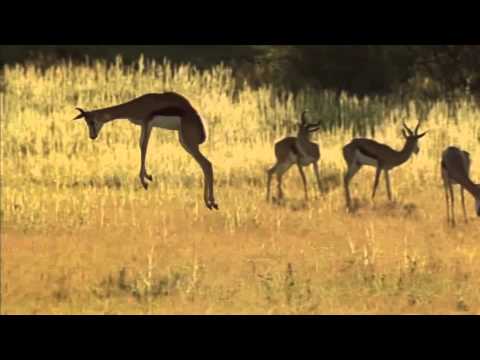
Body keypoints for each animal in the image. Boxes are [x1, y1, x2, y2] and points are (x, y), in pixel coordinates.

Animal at [73, 93, 219, 210]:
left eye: (91, 121)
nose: (92, 136)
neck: (139, 105)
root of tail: (202, 127)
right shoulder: (146, 126)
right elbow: (142, 146)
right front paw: (147, 177)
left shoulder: (146, 122)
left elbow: (143, 146)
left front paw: (145, 180)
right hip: (184, 142)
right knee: (205, 165)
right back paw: (209, 203)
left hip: (189, 144)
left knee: (207, 164)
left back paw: (212, 202)